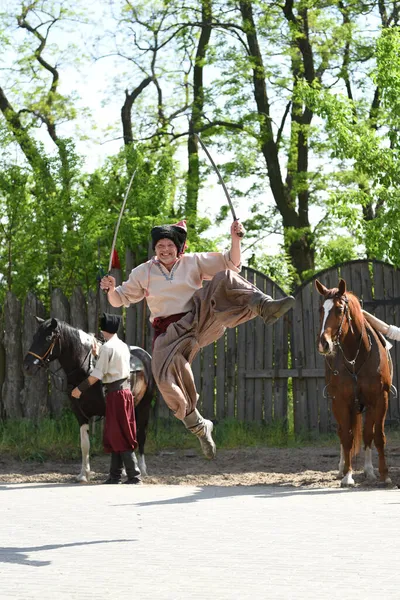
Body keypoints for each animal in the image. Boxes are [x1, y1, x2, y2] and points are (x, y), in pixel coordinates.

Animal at [316, 278, 390, 486]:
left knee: (367, 434)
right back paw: (342, 469)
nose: (324, 343)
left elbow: (377, 436)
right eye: (321, 310)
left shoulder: (380, 399)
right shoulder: (341, 401)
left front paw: (384, 474)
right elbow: (347, 437)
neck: (357, 357)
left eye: (339, 309)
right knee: (343, 433)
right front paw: (348, 475)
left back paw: (369, 470)